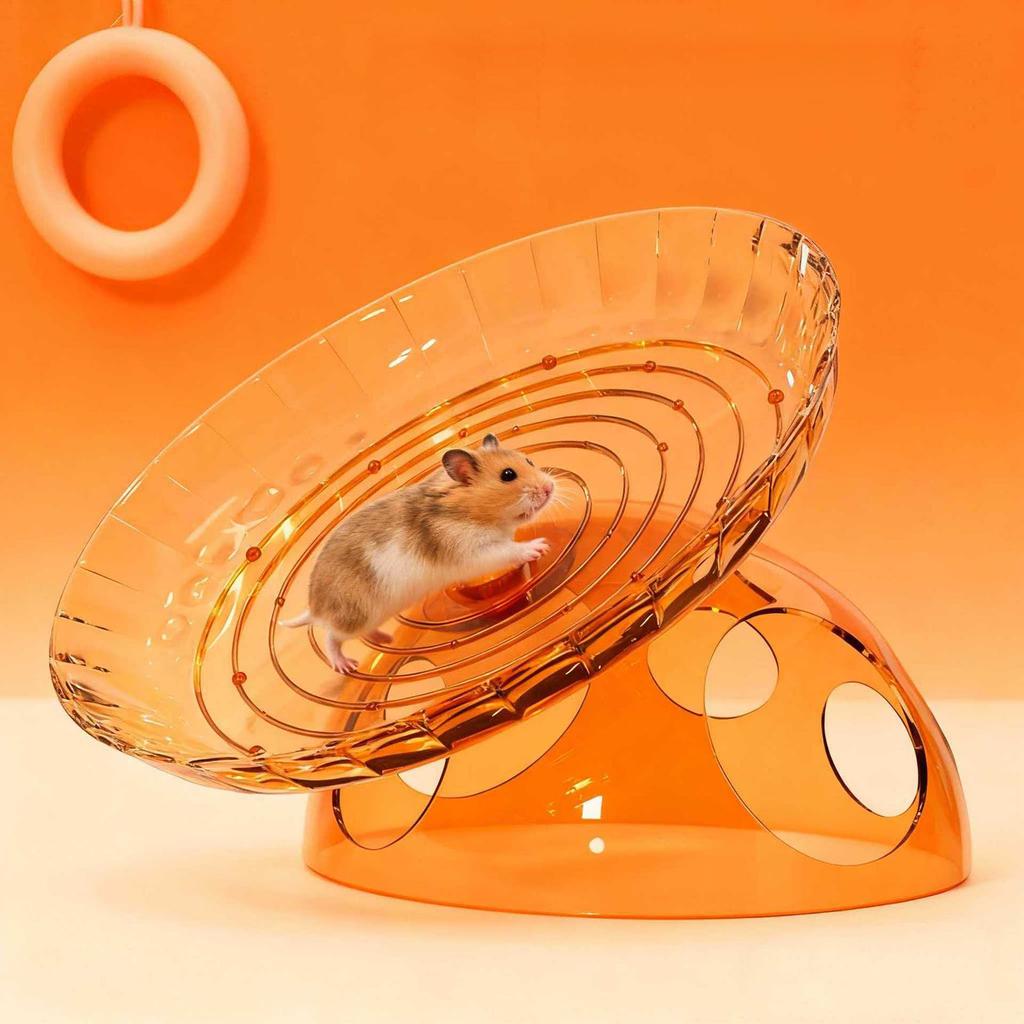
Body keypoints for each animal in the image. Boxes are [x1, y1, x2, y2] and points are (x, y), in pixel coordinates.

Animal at [279, 433, 557, 674]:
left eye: (528, 460)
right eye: (508, 475)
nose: (550, 487)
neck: (469, 510)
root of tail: (315, 607)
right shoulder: (473, 552)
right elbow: (509, 551)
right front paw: (541, 546)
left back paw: (386, 639)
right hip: (354, 615)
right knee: (331, 637)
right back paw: (345, 665)